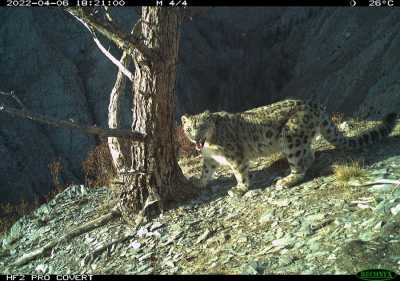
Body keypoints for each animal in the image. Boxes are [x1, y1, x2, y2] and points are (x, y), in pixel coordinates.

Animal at [181, 99, 396, 196]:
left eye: (202, 126)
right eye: (188, 128)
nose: (195, 137)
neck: (209, 145)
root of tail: (314, 105)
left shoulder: (235, 156)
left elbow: (240, 172)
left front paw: (240, 188)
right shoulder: (209, 158)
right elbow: (206, 170)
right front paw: (199, 182)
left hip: (290, 138)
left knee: (300, 164)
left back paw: (286, 180)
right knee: (309, 155)